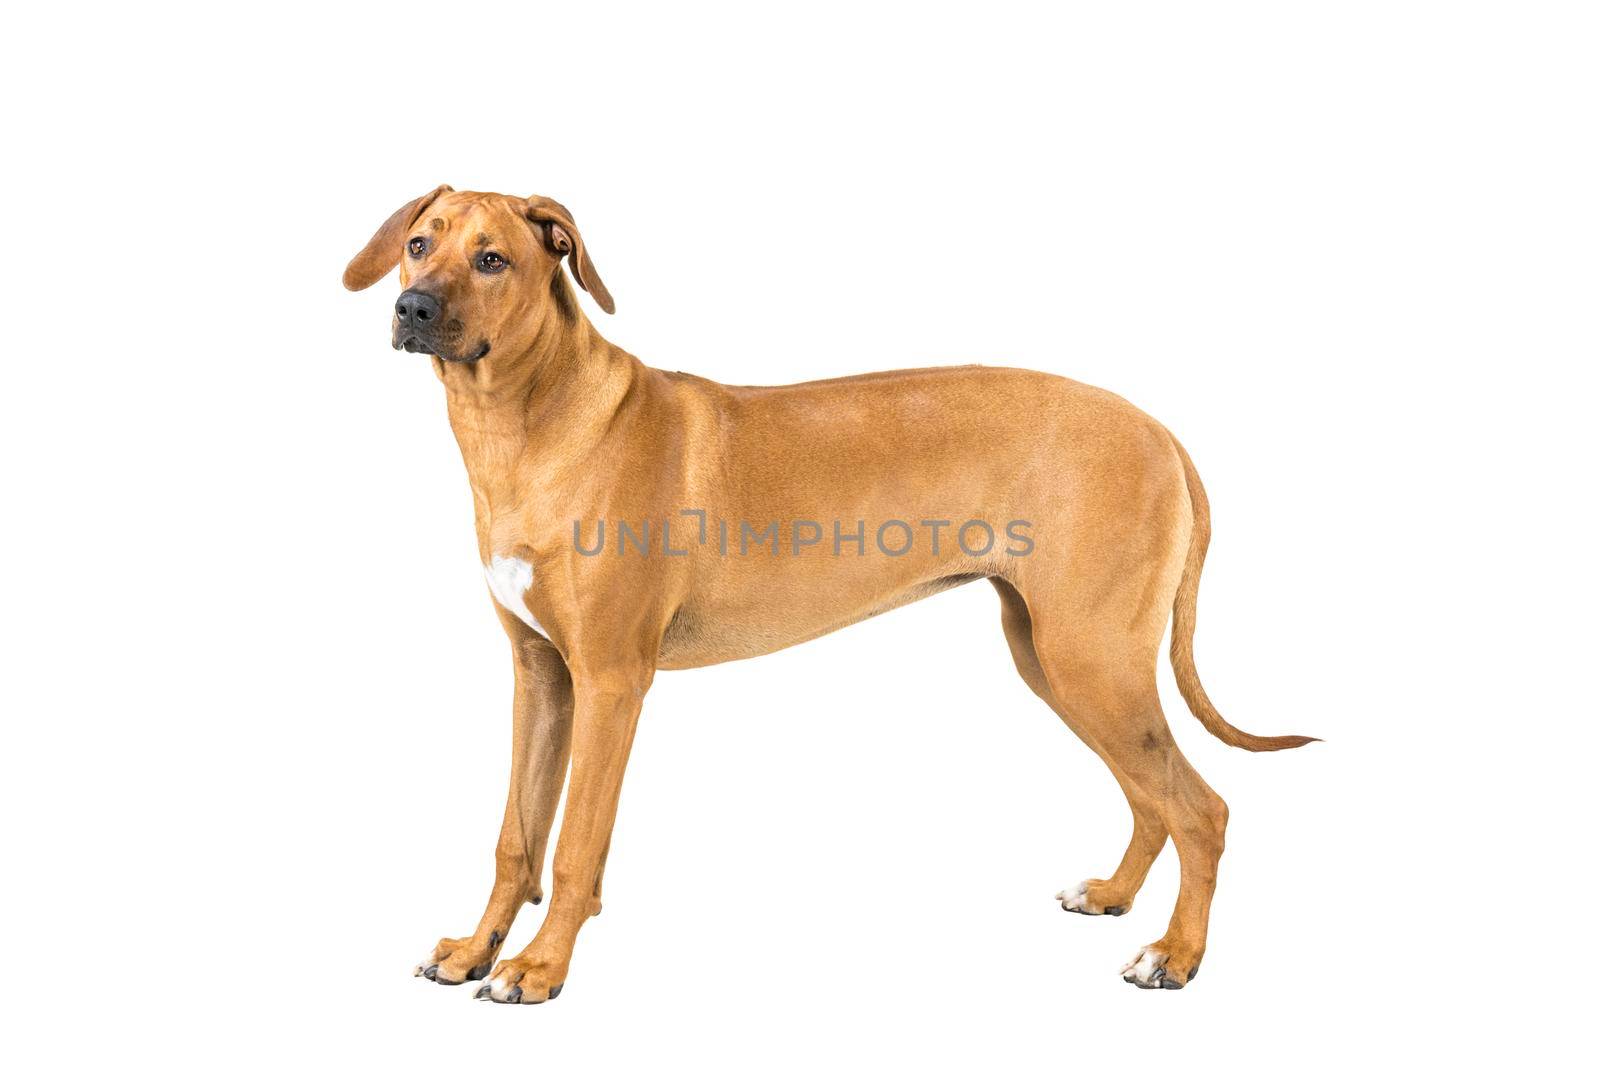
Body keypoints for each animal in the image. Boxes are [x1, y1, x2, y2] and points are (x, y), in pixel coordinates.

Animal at [340, 185, 1312, 1004]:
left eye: (492, 258)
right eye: (419, 244)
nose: (411, 309)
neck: (529, 424)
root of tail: (1160, 429)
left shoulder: (612, 681)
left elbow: (576, 843)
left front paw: (539, 967)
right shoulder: (542, 675)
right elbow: (518, 836)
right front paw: (476, 949)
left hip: (1090, 658)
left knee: (1201, 807)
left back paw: (1176, 955)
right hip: (1053, 656)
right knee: (1153, 795)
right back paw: (1113, 895)